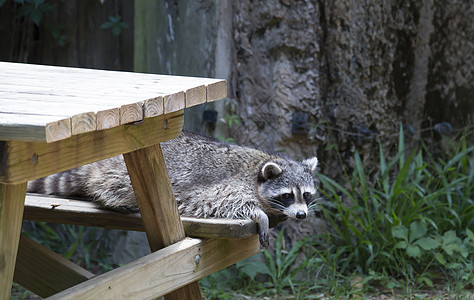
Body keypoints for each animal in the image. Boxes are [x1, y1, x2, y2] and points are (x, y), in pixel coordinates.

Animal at [26, 132, 318, 248]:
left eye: (306, 194)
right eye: (287, 195)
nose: (302, 215)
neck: (258, 168)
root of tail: (100, 163)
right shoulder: (223, 185)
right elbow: (221, 201)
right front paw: (260, 214)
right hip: (121, 174)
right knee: (113, 185)